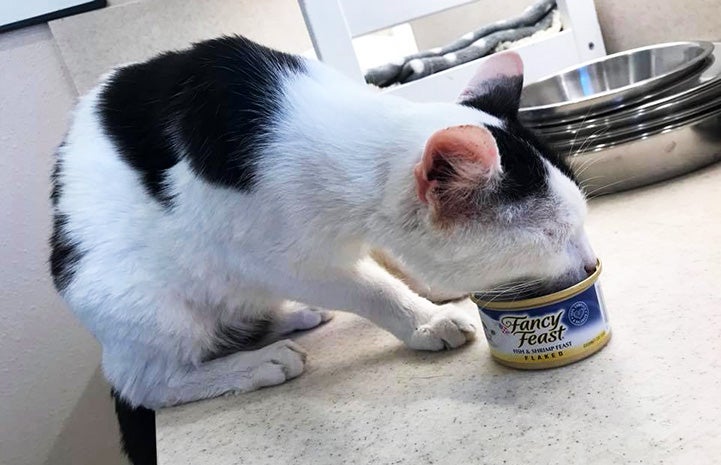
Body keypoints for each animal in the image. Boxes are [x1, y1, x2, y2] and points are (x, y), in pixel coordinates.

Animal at [49, 35, 592, 406]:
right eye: (553, 235)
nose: (591, 265)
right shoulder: (269, 256)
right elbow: (368, 287)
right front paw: (423, 319)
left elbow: (389, 257)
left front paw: (429, 290)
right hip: (139, 299)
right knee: (146, 382)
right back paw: (252, 364)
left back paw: (291, 317)